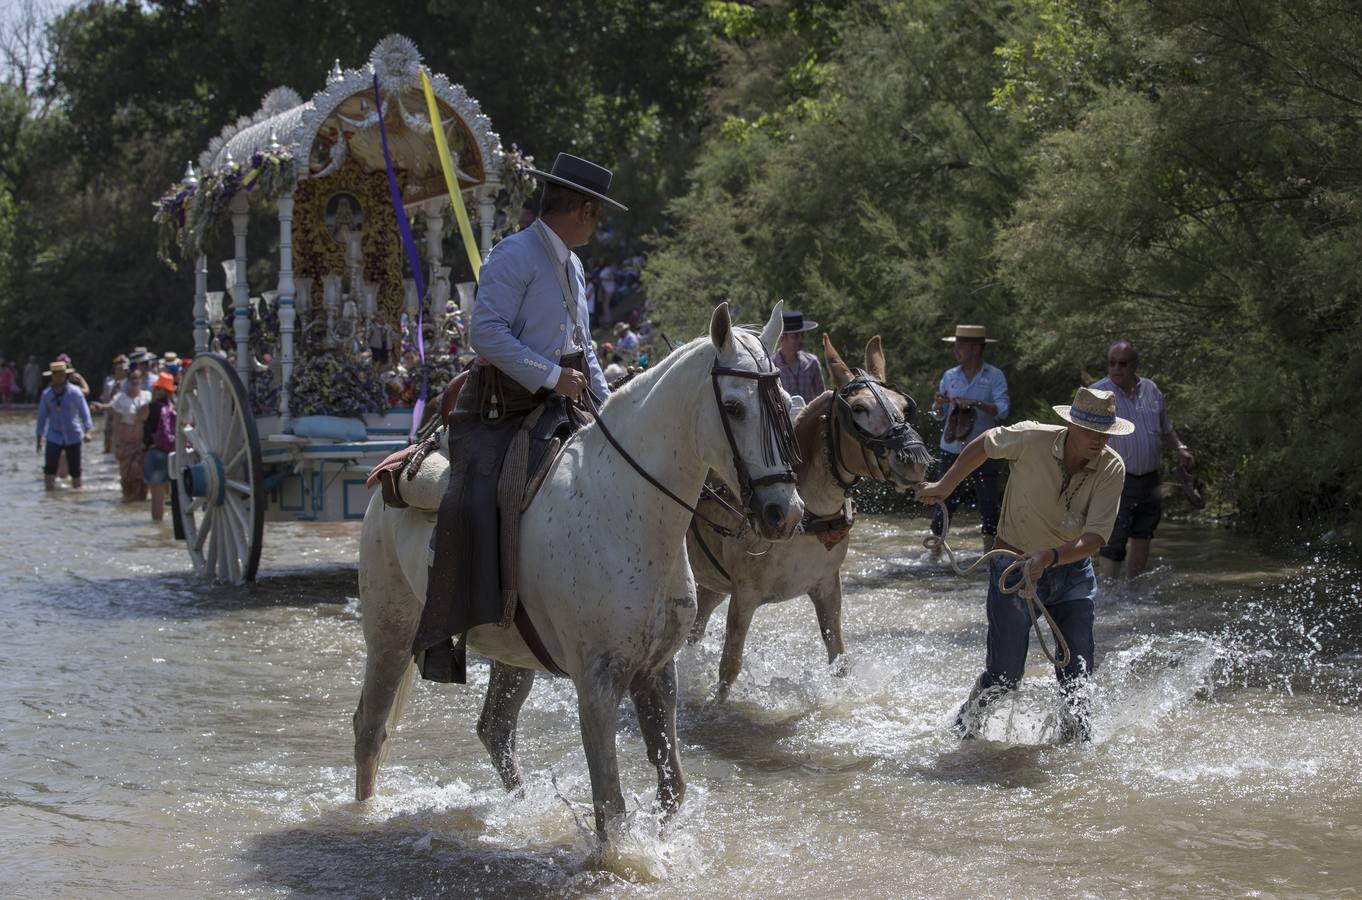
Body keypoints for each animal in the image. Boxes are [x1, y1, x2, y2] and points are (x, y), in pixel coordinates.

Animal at [354, 299, 806, 833]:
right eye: (733, 406)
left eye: (784, 400)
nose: (784, 513)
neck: (627, 509)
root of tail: (394, 472)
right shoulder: (597, 684)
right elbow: (610, 807)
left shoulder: (657, 672)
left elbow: (672, 787)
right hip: (390, 632)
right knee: (370, 729)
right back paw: (361, 816)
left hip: (510, 654)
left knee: (494, 730)